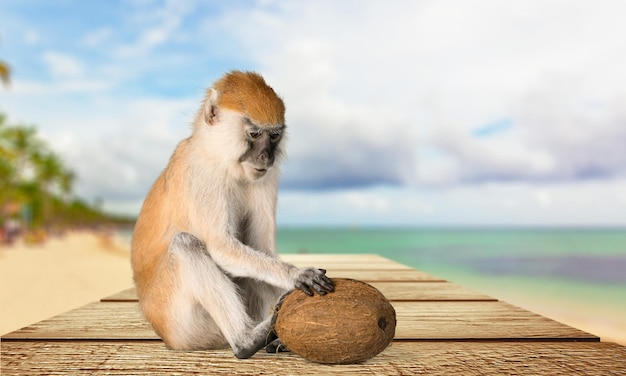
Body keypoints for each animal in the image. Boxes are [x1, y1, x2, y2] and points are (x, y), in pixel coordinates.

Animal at [130, 70, 334, 358]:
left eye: (274, 137)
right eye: (254, 133)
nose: (266, 157)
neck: (217, 154)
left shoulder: (265, 178)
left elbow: (261, 249)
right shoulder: (202, 175)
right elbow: (219, 246)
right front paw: (297, 275)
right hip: (178, 321)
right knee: (185, 245)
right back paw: (247, 340)